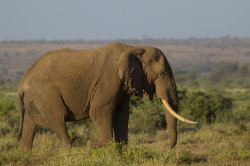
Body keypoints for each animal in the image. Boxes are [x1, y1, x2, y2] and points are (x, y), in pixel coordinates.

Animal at [18, 41, 197, 149]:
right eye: (161, 74)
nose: (168, 146)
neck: (132, 47)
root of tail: (22, 83)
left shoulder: (122, 86)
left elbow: (122, 114)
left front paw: (120, 148)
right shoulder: (108, 81)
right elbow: (99, 112)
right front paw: (95, 146)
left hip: (36, 99)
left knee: (30, 125)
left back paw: (25, 152)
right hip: (46, 96)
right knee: (58, 122)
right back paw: (71, 150)